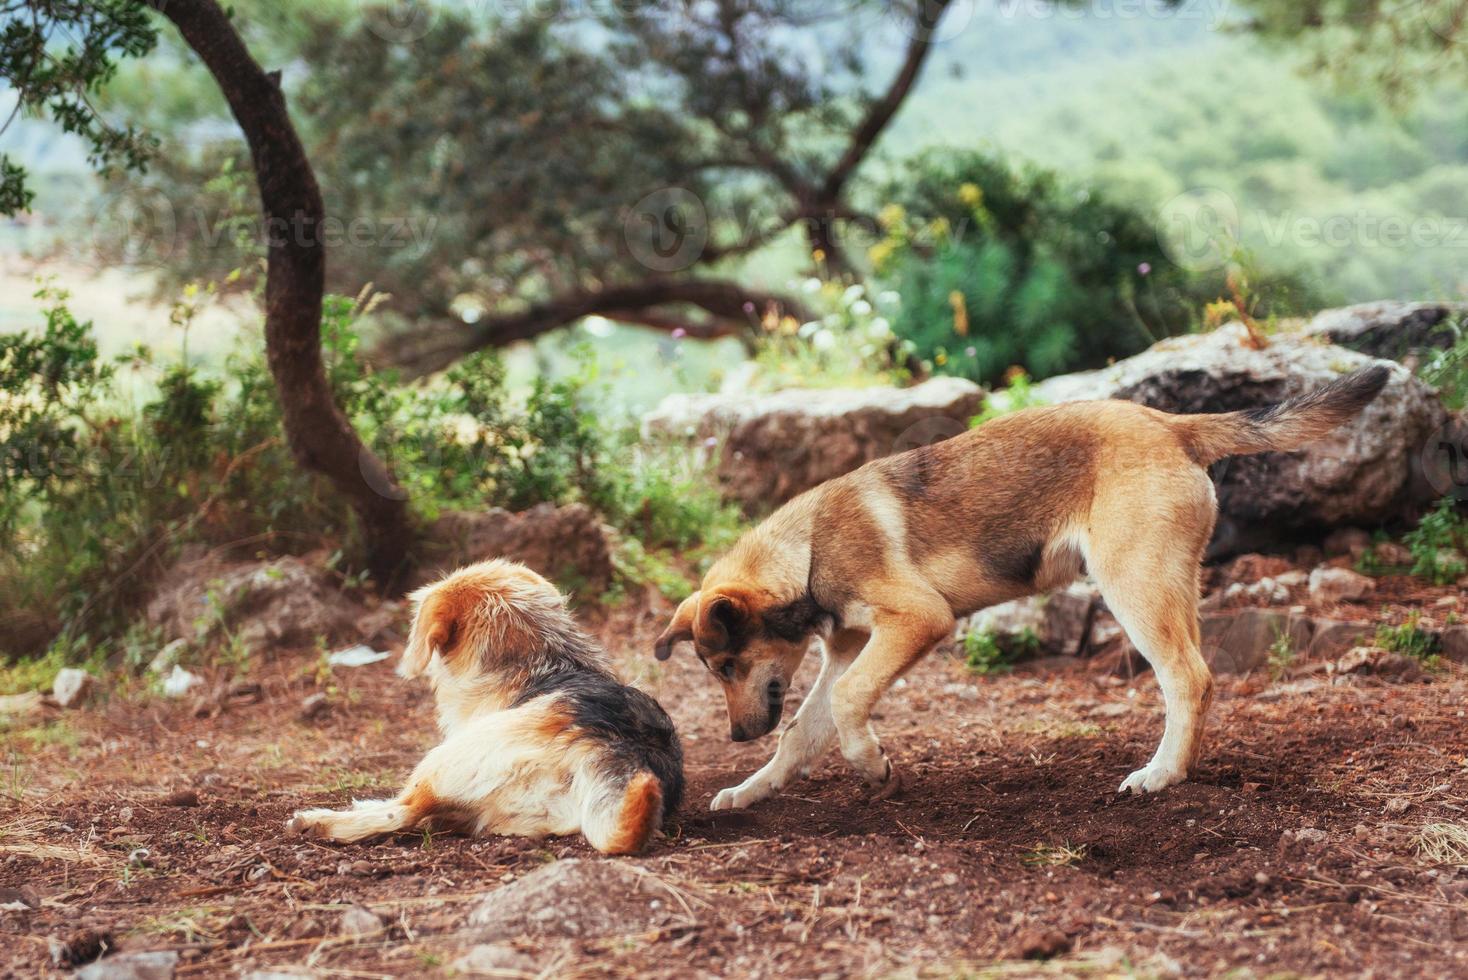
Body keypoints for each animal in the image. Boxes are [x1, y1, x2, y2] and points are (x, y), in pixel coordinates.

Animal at [654, 366, 1385, 809]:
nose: (735, 737)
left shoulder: (916, 621)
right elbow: (802, 731)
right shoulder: (847, 649)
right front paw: (752, 789)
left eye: (726, 665)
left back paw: (1160, 775)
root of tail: (1172, 425)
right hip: (1172, 587)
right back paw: (1185, 765)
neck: (806, 550)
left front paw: (871, 764)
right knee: (1197, 679)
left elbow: (849, 702)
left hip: (1132, 588)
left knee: (1190, 678)